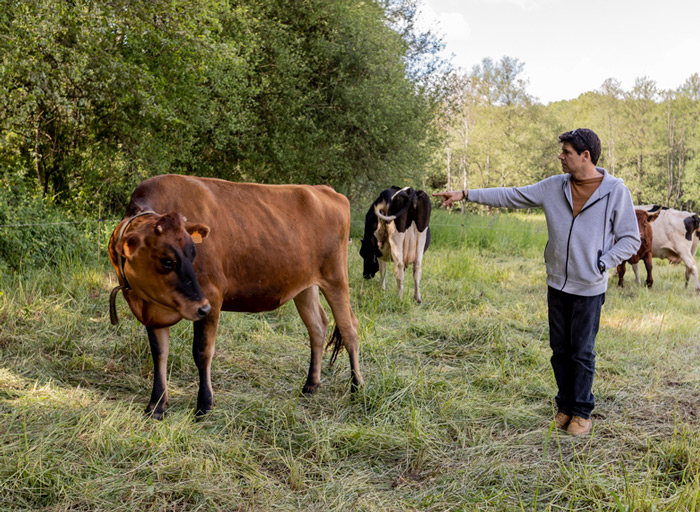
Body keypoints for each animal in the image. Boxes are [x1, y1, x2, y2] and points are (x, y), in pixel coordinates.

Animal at [108, 174, 366, 418]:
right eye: (167, 261)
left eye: (193, 253)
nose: (201, 308)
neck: (142, 302)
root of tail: (323, 189)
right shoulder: (153, 308)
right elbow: (160, 354)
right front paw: (156, 406)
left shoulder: (212, 296)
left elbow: (202, 352)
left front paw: (204, 405)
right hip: (304, 285)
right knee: (317, 327)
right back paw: (311, 386)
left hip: (336, 277)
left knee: (349, 328)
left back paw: (357, 387)